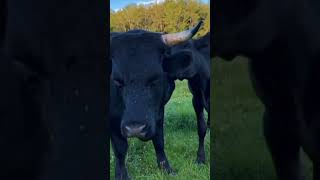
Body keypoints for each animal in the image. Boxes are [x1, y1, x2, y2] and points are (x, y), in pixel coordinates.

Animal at [110, 21, 210, 179]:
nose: (135, 129)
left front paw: (166, 169)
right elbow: (120, 150)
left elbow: (159, 139)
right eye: (117, 81)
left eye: (155, 79)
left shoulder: (158, 111)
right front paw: (122, 176)